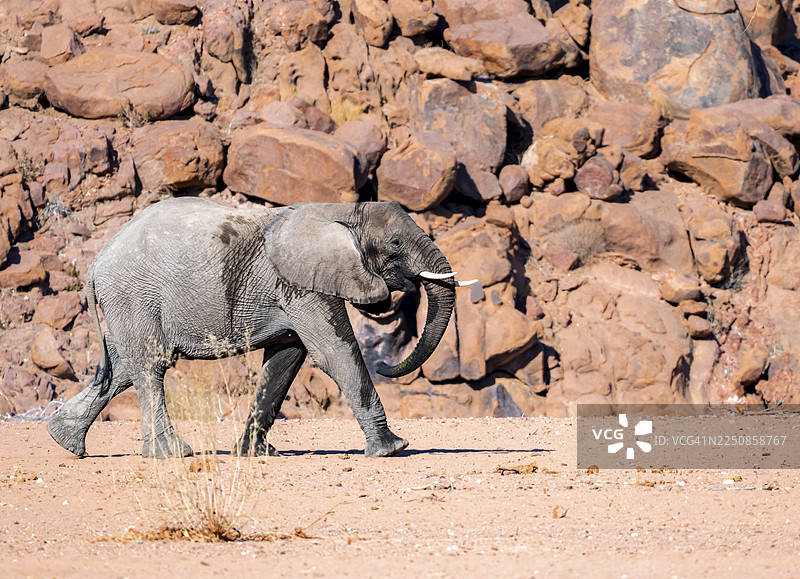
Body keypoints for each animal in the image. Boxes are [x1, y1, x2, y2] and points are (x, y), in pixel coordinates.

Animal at [47, 197, 474, 458]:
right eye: (396, 242)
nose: (387, 363)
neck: (340, 209)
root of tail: (97, 261)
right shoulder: (301, 284)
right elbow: (335, 353)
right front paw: (393, 449)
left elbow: (284, 362)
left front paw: (255, 455)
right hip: (135, 295)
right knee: (150, 367)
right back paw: (174, 454)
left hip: (127, 303)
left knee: (121, 369)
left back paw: (64, 441)